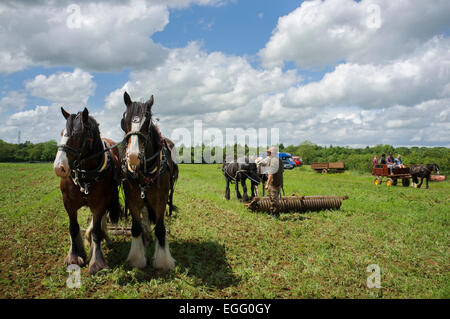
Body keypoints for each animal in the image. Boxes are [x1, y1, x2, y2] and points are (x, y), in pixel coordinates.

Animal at [53, 107, 122, 276]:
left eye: (77, 135)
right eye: (62, 132)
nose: (59, 167)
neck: (85, 174)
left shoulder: (101, 203)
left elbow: (96, 230)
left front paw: (96, 262)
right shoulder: (68, 202)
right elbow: (73, 228)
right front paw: (74, 255)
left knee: (101, 222)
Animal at [120, 91, 178, 272]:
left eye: (147, 121)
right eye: (124, 120)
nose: (133, 156)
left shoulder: (160, 200)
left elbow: (160, 229)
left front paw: (163, 261)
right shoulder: (132, 199)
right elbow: (136, 228)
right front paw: (137, 258)